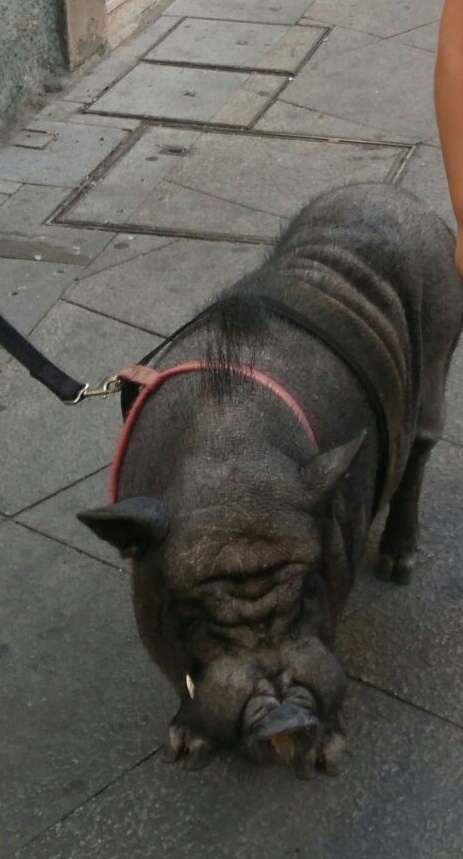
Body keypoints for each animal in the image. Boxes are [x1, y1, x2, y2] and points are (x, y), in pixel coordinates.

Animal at [78, 183, 463, 778]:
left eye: (306, 596)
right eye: (200, 620)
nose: (285, 719)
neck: (231, 461)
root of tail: (400, 197)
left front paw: (327, 758)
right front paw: (184, 750)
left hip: (439, 358)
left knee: (419, 454)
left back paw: (398, 564)